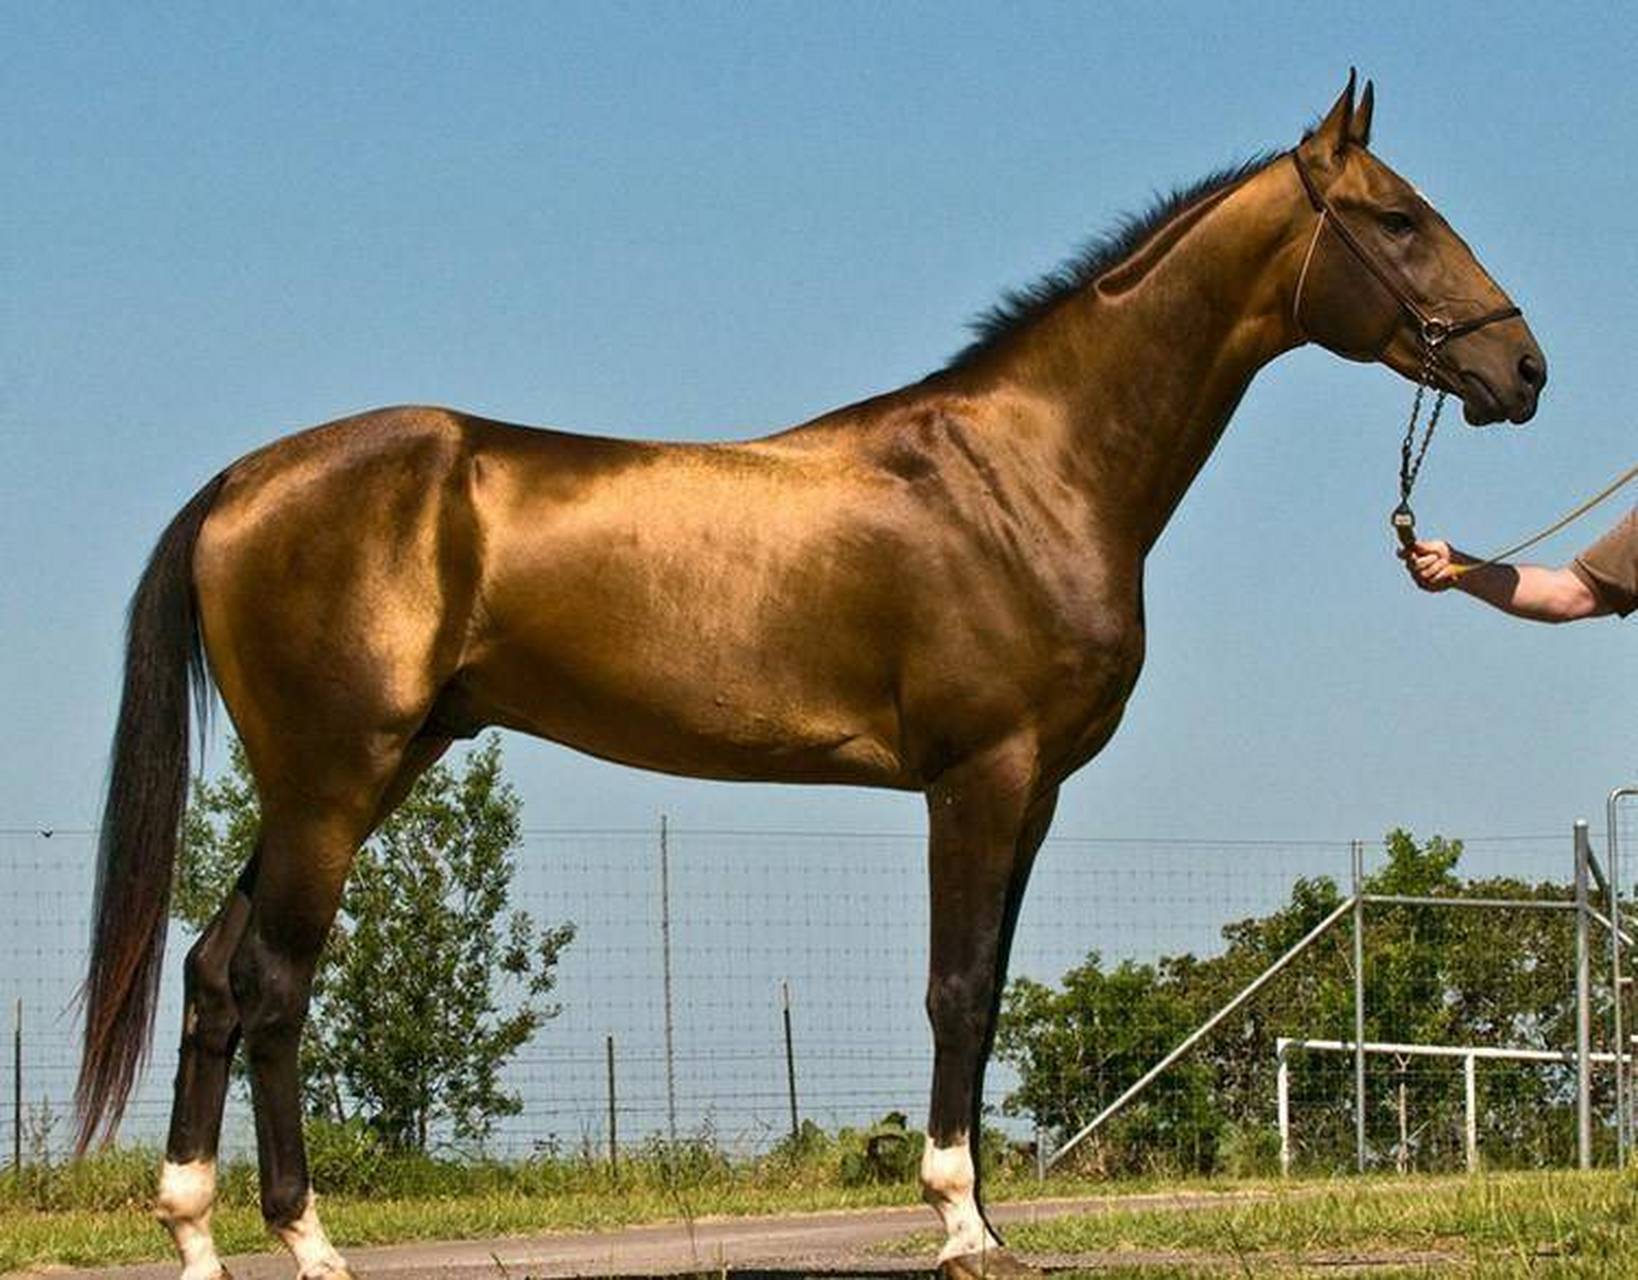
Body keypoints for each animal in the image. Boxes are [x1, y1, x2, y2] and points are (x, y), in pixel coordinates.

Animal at [77, 73, 1544, 1279]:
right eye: (1398, 217)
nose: (1520, 368)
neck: (1025, 471)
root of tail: (243, 482)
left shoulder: (1038, 792)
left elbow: (986, 999)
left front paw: (985, 1216)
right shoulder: (978, 774)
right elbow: (954, 990)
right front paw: (957, 1223)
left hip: (349, 777)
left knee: (214, 973)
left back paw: (197, 1233)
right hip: (334, 781)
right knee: (274, 986)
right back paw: (307, 1241)